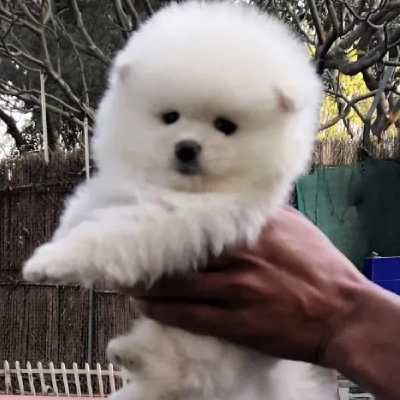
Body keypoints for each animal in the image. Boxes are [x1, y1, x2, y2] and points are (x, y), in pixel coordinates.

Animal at [21, 0, 334, 400]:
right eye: (170, 117)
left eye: (225, 126)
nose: (187, 147)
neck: (178, 189)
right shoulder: (117, 187)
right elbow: (85, 208)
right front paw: (60, 239)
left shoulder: (176, 222)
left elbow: (104, 237)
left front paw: (48, 263)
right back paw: (125, 353)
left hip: (207, 350)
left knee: (183, 375)